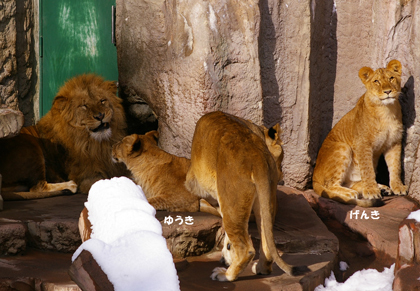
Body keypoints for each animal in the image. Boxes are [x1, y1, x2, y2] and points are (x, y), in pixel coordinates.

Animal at [185, 110, 306, 282]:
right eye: (282, 159)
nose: (282, 174)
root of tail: (256, 155)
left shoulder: (194, 183)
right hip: (265, 202)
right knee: (266, 243)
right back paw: (261, 268)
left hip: (230, 199)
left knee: (246, 248)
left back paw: (225, 275)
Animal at [312, 60, 406, 208]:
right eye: (376, 81)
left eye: (391, 78)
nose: (387, 91)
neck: (386, 111)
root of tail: (313, 178)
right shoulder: (363, 144)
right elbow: (367, 169)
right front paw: (371, 191)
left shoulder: (394, 142)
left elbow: (395, 166)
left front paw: (398, 187)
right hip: (343, 147)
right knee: (330, 185)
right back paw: (350, 193)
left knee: (350, 183)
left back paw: (382, 188)